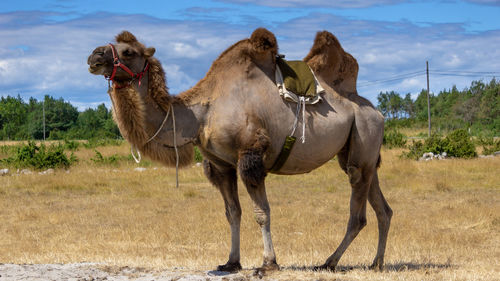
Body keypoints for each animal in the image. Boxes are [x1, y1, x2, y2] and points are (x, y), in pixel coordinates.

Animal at [89, 28, 394, 274]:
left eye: (129, 52)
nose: (94, 56)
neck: (201, 113)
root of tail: (376, 111)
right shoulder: (220, 165)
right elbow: (232, 213)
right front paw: (231, 262)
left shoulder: (250, 155)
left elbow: (262, 212)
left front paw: (268, 264)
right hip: (361, 150)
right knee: (382, 207)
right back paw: (376, 263)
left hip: (363, 137)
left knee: (358, 213)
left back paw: (329, 262)